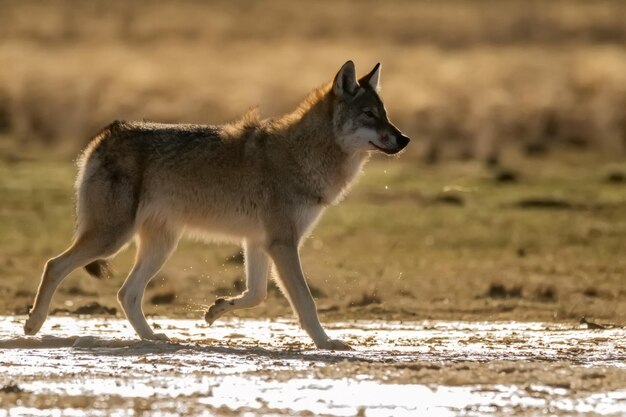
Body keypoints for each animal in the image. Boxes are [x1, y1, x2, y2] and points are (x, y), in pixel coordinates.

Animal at [23, 60, 410, 350]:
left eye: (385, 114)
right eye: (370, 115)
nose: (405, 138)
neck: (304, 155)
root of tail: (106, 134)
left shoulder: (259, 243)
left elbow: (257, 295)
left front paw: (216, 309)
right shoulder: (282, 243)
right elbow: (305, 302)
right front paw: (327, 343)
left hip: (159, 245)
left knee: (126, 293)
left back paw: (154, 338)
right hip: (113, 239)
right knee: (54, 265)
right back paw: (33, 325)